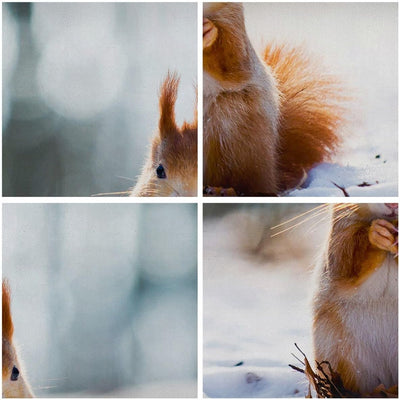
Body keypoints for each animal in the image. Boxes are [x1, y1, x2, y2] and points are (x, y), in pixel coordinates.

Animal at [203, 2, 344, 196]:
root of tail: (273, 174)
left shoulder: (236, 34)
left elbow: (233, 63)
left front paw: (208, 30)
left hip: (241, 143)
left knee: (248, 184)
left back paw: (223, 190)